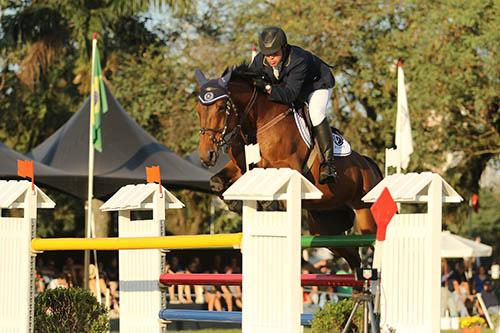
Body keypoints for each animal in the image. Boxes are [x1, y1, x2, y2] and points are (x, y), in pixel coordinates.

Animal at [193, 63, 380, 268]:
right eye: (198, 110)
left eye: (220, 108)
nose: (206, 155)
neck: (259, 122)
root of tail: (369, 164)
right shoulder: (241, 167)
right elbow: (217, 182)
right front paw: (234, 203)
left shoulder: (288, 168)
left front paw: (265, 205)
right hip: (325, 225)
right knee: (354, 257)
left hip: (366, 215)